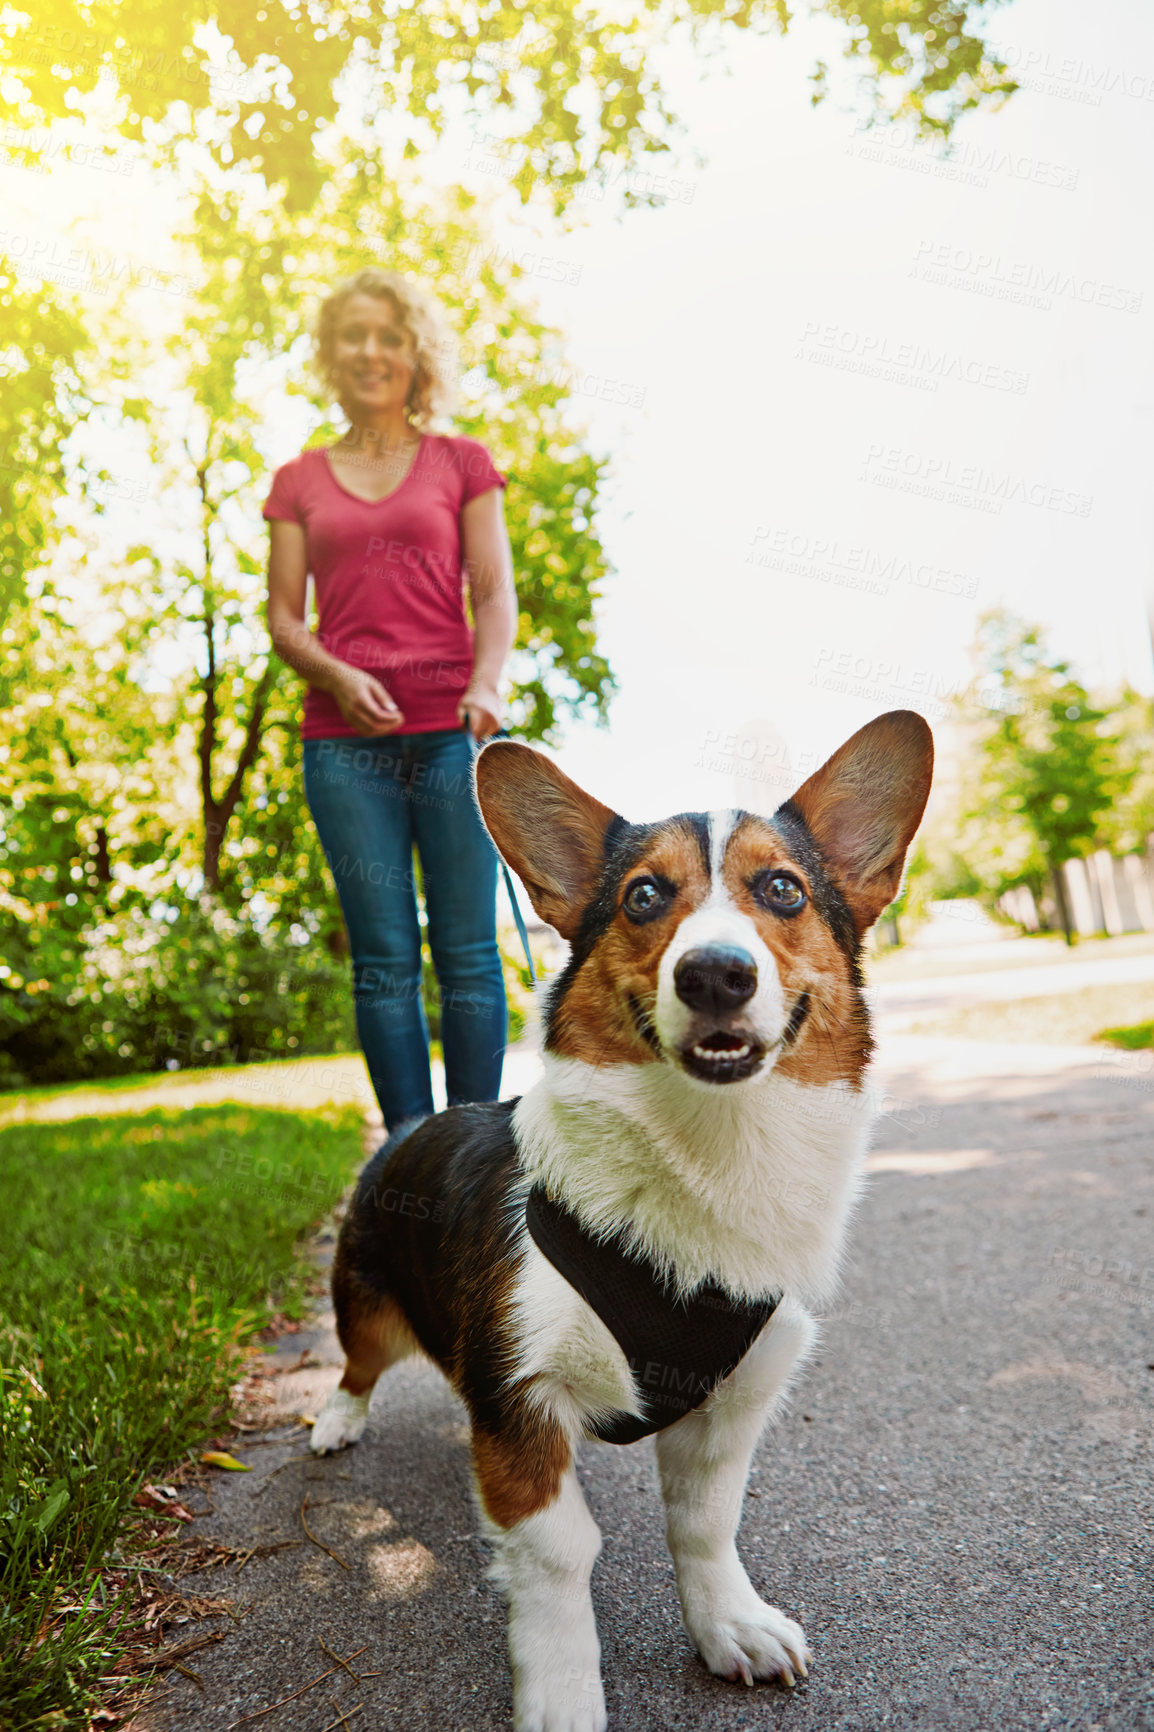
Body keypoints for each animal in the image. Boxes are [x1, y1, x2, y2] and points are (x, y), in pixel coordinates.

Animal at [310, 706, 928, 1732]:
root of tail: (412, 1125)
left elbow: (707, 1527)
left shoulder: (731, 1401)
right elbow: (560, 1553)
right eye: (643, 897)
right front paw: (562, 1694)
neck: (712, 1148)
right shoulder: (521, 1399)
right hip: (366, 1303)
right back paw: (335, 1421)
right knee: (360, 1363)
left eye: (783, 890)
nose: (715, 974)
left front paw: (729, 1627)